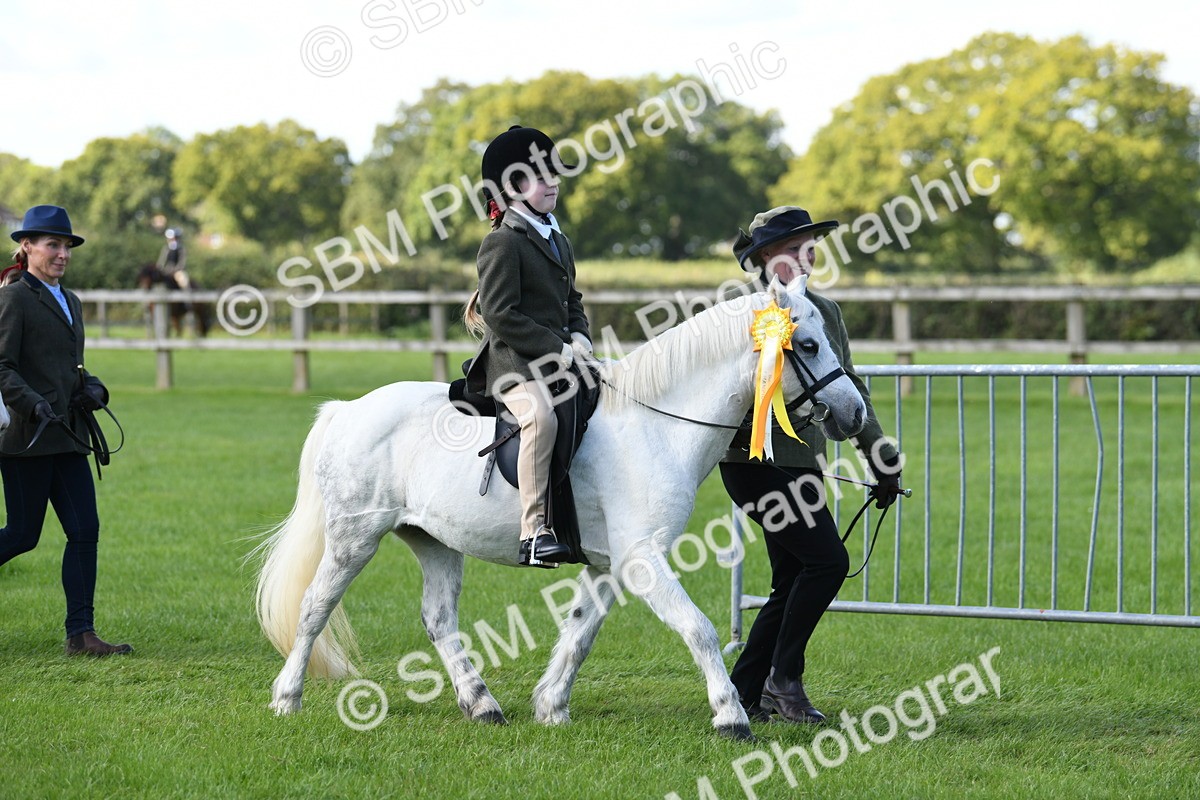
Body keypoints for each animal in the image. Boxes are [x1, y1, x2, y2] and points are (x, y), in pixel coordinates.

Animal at [252, 277, 867, 739]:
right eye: (808, 346)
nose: (854, 412)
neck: (657, 423)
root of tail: (347, 409)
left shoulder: (609, 565)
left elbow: (580, 633)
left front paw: (551, 707)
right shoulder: (643, 559)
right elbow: (698, 629)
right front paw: (731, 717)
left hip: (435, 541)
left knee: (438, 619)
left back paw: (482, 705)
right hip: (354, 537)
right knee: (315, 607)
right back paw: (287, 698)